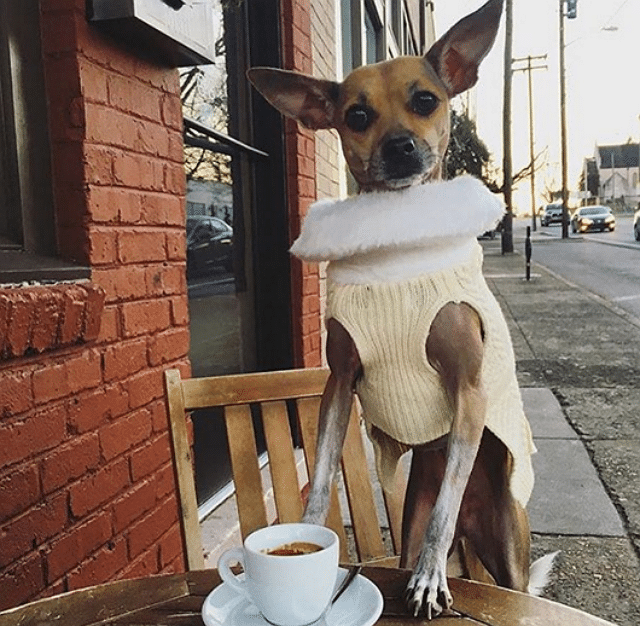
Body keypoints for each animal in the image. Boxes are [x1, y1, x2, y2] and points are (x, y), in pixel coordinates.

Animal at [245, 0, 556, 616]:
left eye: (425, 100)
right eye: (358, 114)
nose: (400, 147)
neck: (395, 245)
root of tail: (472, 538)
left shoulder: (469, 391)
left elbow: (446, 502)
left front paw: (431, 579)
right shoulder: (339, 383)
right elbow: (321, 474)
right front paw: (310, 535)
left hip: (510, 556)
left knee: (476, 541)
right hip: (409, 518)